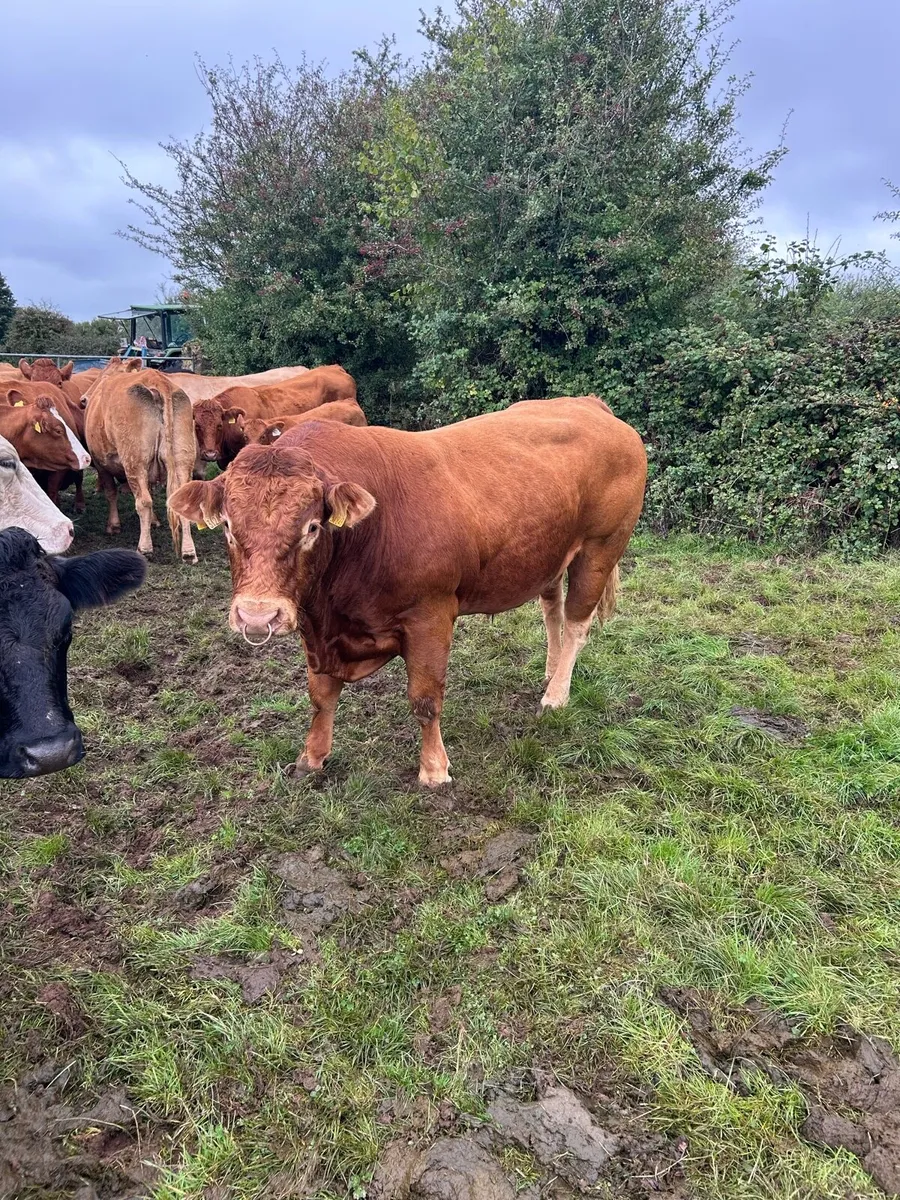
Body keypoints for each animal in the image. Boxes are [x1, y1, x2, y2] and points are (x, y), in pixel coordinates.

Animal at [84, 359, 198, 561]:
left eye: (103, 374)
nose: (84, 399)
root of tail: (157, 380)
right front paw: (155, 521)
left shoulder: (101, 463)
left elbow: (111, 492)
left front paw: (113, 525)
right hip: (183, 459)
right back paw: (188, 552)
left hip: (134, 462)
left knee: (143, 502)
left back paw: (144, 548)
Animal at [169, 396, 647, 785]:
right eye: (228, 527)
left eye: (312, 527)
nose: (257, 615)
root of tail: (590, 405)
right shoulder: (315, 626)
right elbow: (321, 696)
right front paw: (312, 757)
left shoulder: (430, 617)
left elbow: (425, 699)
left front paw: (434, 769)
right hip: (550, 553)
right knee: (553, 608)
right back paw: (550, 672)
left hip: (601, 548)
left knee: (577, 621)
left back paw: (556, 694)